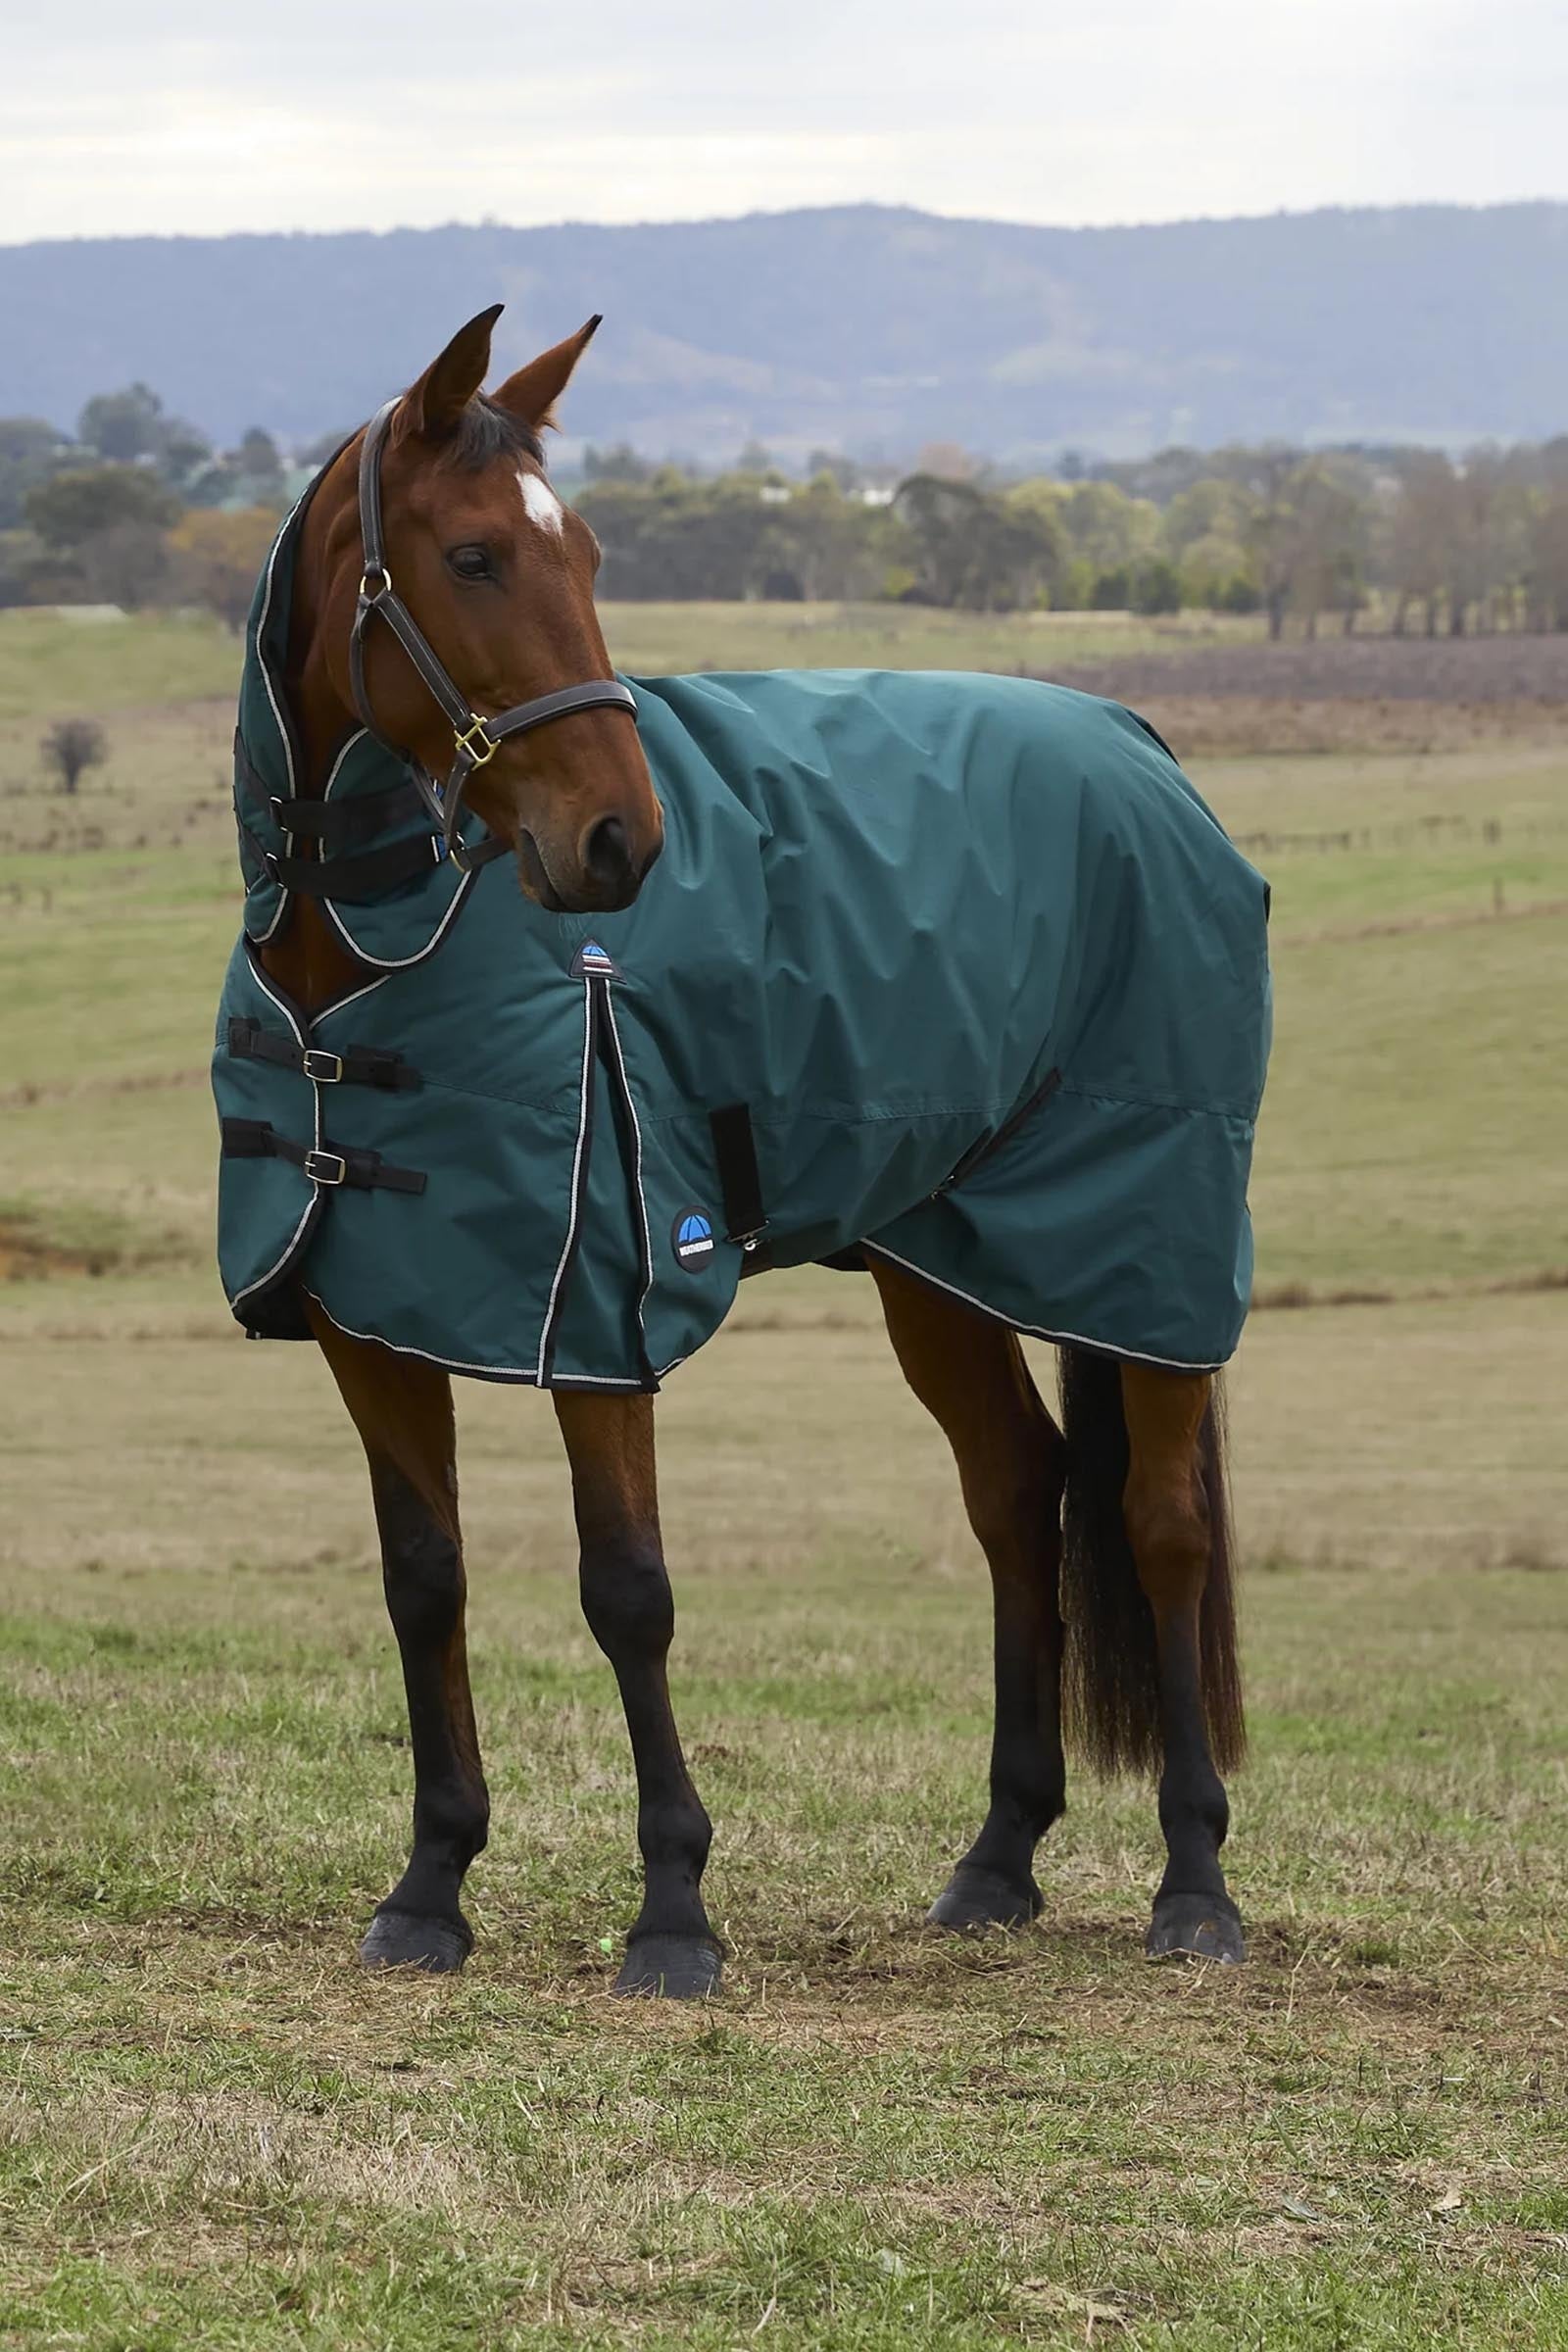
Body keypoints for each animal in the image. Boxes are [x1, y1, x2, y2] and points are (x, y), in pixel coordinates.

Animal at [240, 304, 1253, 1997]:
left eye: (586, 550)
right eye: (471, 558)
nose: (621, 844)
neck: (375, 955)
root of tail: (1139, 744)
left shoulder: (602, 1311)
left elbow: (628, 1592)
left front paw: (672, 1913)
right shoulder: (367, 1317)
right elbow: (423, 1579)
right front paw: (431, 1886)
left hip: (1147, 1251)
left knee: (1159, 1526)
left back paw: (1195, 1885)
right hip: (942, 1264)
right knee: (1019, 1496)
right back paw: (998, 1860)